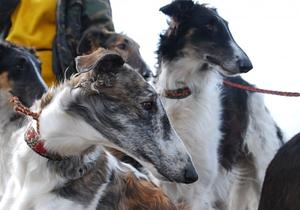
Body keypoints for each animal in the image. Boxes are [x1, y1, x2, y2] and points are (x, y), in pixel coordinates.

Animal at [156, 0, 284, 209]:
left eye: (227, 27)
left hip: (264, 167)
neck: (183, 94)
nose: (247, 65)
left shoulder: (200, 189)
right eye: (209, 25)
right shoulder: (167, 187)